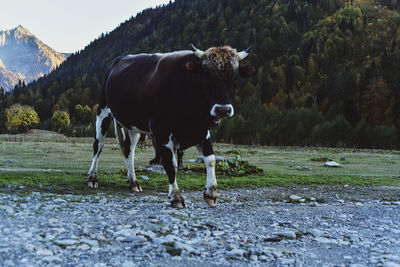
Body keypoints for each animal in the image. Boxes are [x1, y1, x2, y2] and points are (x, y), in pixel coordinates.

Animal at [87, 45, 256, 209]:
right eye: (206, 78)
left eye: (235, 78)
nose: (223, 109)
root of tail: (119, 60)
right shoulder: (162, 131)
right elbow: (170, 163)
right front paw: (176, 196)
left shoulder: (201, 130)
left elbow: (211, 159)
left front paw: (211, 193)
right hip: (103, 110)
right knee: (98, 145)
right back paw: (93, 178)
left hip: (133, 125)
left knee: (129, 149)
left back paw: (133, 182)